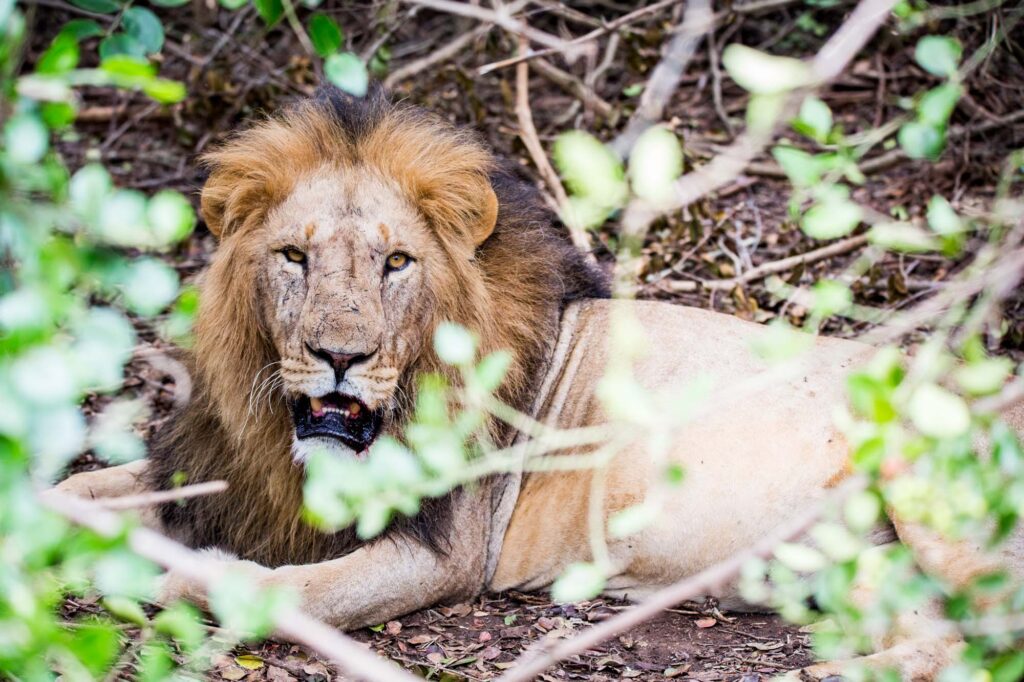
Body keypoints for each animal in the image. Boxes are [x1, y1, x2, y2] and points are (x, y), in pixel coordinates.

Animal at [58, 84, 1024, 675]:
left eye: (397, 263)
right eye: (294, 256)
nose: (341, 355)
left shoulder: (446, 553)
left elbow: (287, 589)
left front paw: (174, 581)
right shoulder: (224, 478)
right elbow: (74, 493)